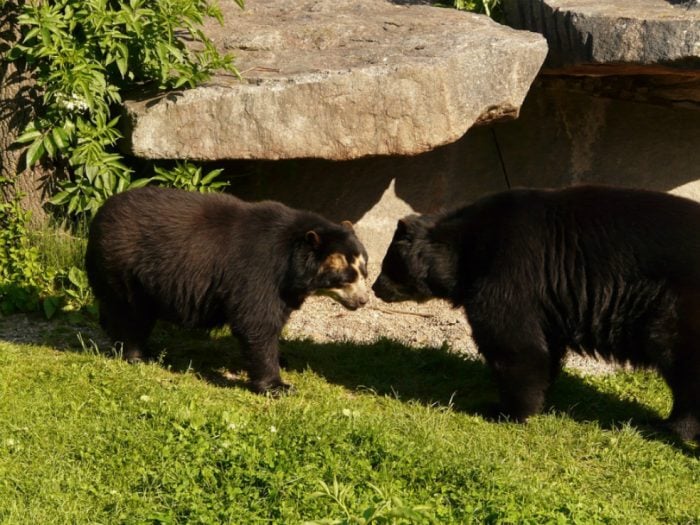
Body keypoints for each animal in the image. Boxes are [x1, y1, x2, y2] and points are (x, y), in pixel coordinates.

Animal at [85, 186, 369, 394]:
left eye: (364, 270)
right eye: (346, 276)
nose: (363, 300)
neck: (292, 262)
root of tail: (99, 213)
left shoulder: (285, 288)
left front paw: (283, 359)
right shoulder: (259, 270)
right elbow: (256, 320)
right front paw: (278, 386)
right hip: (125, 266)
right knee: (130, 312)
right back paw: (136, 354)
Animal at [372, 185, 700, 443]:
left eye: (388, 263)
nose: (375, 288)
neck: (467, 249)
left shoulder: (510, 271)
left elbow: (513, 342)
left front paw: (506, 410)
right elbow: (544, 346)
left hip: (677, 306)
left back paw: (670, 428)